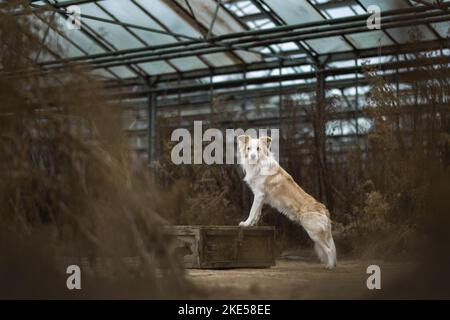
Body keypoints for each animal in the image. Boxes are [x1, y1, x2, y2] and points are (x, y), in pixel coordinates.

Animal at [237, 134, 336, 268]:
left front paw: (246, 224)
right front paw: (253, 224)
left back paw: (329, 267)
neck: (258, 164)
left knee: (329, 250)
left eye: (258, 149)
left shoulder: (258, 194)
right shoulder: (261, 197)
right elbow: (257, 213)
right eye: (248, 148)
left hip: (314, 233)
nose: (252, 156)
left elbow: (252, 211)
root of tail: (323, 208)